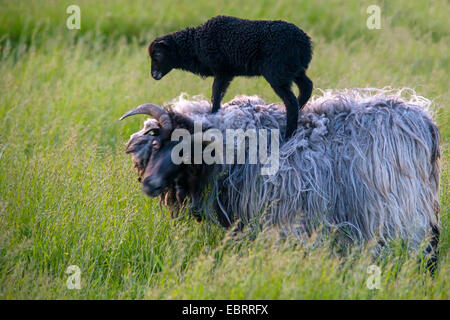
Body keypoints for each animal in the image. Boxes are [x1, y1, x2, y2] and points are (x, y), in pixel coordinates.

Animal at [148, 15, 312, 139]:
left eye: (158, 54)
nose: (153, 75)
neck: (196, 44)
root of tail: (305, 44)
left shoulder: (222, 71)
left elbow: (215, 96)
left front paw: (213, 115)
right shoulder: (226, 73)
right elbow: (217, 95)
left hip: (277, 73)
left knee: (291, 102)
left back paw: (288, 135)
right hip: (294, 70)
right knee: (306, 87)